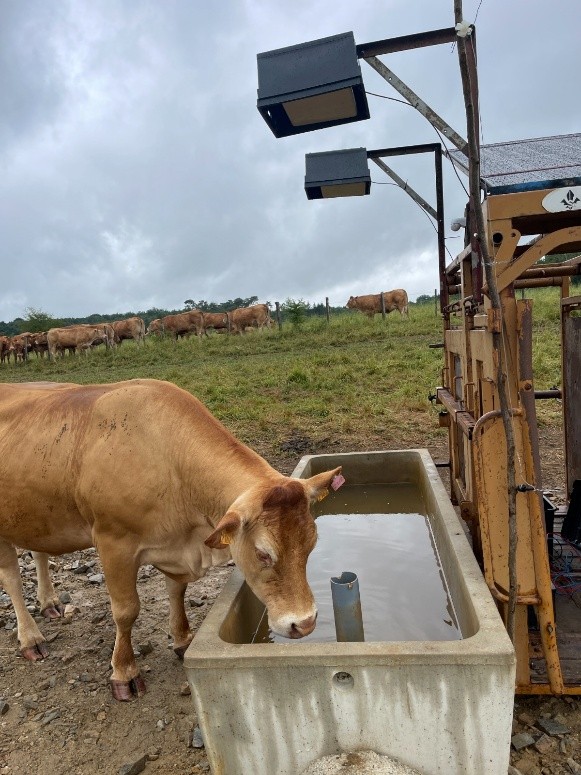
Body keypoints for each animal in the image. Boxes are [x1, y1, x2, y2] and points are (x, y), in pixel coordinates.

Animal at [0, 379, 341, 701]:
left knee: (39, 553)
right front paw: (123, 672)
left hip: (34, 515)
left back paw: (50, 602)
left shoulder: (175, 547)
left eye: (311, 545)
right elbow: (126, 611)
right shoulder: (113, 542)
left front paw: (182, 640)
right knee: (12, 579)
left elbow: (177, 591)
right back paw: (30, 638)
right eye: (263, 553)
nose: (305, 623)